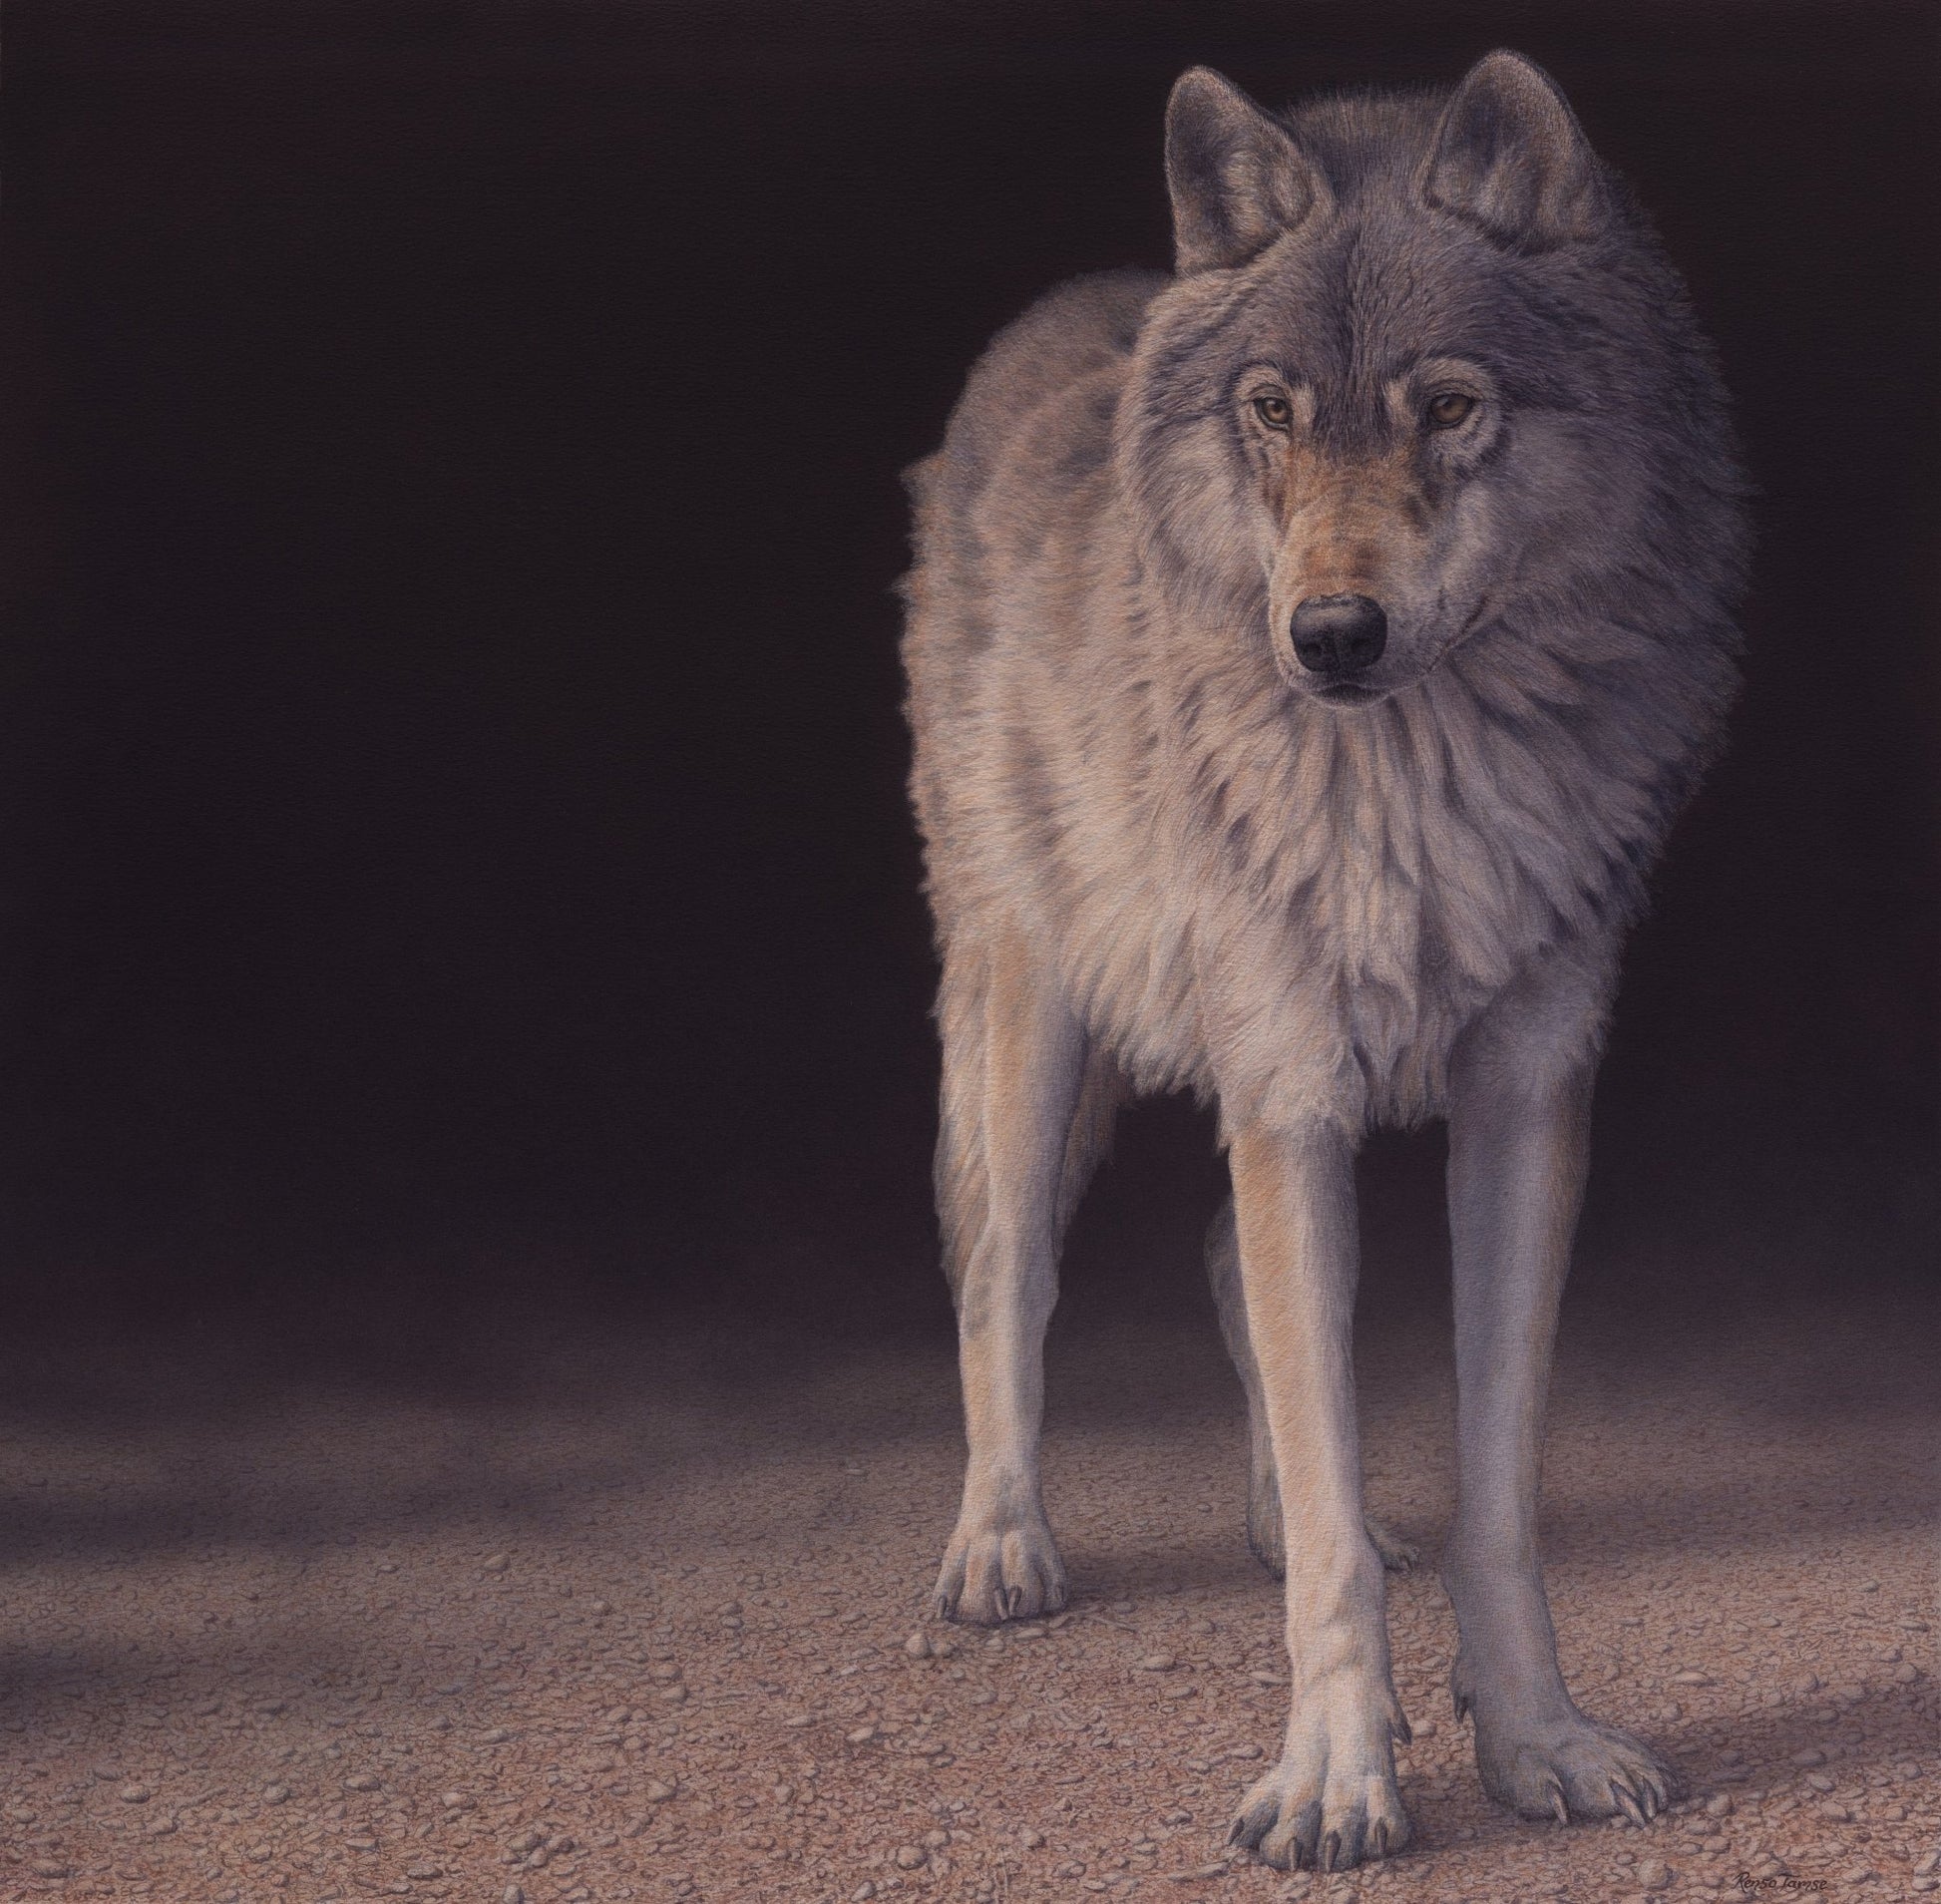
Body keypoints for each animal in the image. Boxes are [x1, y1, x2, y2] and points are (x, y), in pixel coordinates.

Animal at [898, 48, 1748, 1872]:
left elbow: (1483, 1490)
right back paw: (1001, 1547)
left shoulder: (1523, 1099)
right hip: (1028, 1016)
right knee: (1005, 1273)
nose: (1332, 636)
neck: (1416, 777)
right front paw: (1338, 1777)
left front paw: (1536, 1740)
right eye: (1273, 411)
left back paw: (1266, 1517)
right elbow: (1341, 1487)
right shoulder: (1288, 1087)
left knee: (1227, 1266)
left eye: (1449, 407)